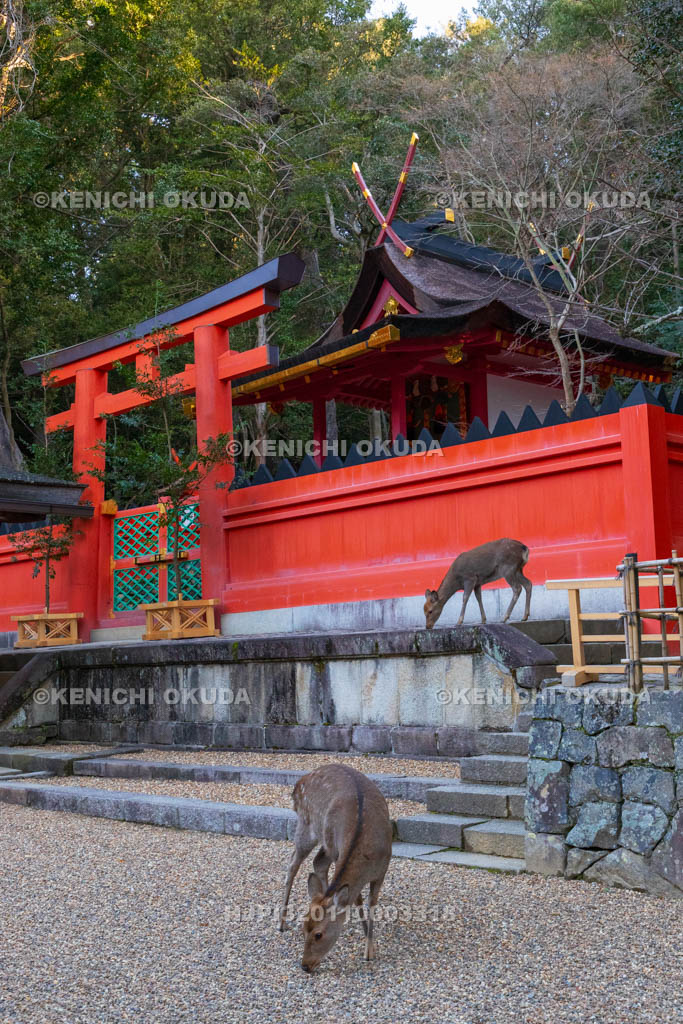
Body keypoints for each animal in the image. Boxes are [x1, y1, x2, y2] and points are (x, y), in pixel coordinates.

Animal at [278, 763, 393, 973]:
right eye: (303, 929)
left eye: (318, 934)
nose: (305, 965)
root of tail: (299, 783)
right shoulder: (339, 854)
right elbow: (357, 899)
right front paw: (367, 945)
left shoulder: (382, 870)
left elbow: (370, 903)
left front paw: (369, 949)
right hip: (307, 825)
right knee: (293, 864)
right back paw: (281, 922)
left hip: (324, 841)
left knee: (318, 862)